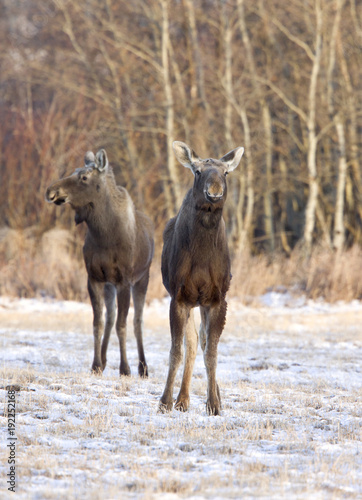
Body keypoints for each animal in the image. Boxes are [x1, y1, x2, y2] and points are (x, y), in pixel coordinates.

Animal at [45, 150, 154, 376]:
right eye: (74, 171)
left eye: (84, 177)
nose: (51, 191)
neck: (104, 234)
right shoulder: (94, 278)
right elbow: (98, 323)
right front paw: (95, 364)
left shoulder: (124, 280)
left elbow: (123, 325)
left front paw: (125, 368)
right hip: (109, 284)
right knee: (110, 318)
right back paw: (104, 360)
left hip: (142, 278)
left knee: (137, 321)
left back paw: (143, 367)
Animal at [160, 140, 245, 414]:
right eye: (197, 171)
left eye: (226, 173)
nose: (214, 191)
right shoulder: (179, 297)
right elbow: (177, 351)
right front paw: (165, 401)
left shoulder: (218, 298)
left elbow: (212, 353)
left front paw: (214, 404)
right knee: (193, 341)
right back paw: (182, 400)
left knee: (204, 341)